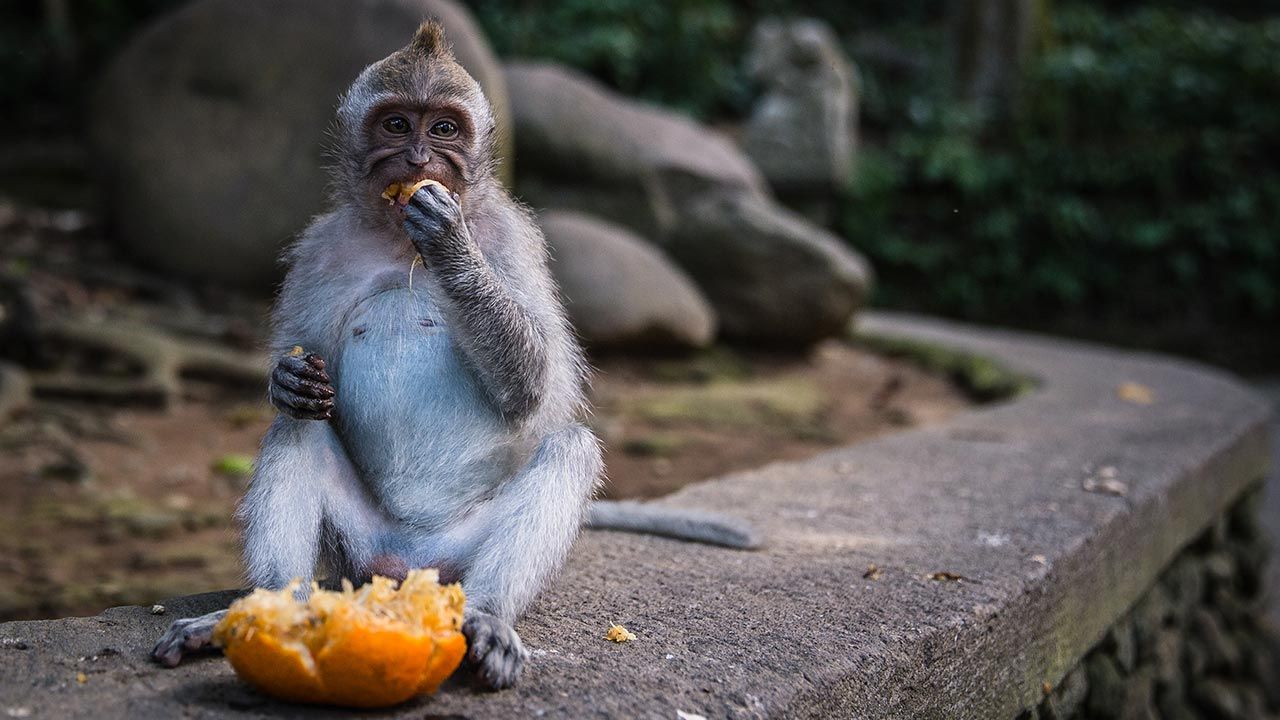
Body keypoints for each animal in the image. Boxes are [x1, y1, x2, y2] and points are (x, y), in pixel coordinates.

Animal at [150, 21, 758, 691]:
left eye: (443, 128)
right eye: (396, 125)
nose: (418, 161)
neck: (398, 239)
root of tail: (405, 562)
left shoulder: (513, 239)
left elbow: (532, 387)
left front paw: (449, 243)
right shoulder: (320, 247)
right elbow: (305, 368)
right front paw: (287, 378)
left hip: (463, 555)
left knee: (568, 450)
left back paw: (488, 617)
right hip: (355, 551)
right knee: (298, 428)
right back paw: (263, 607)